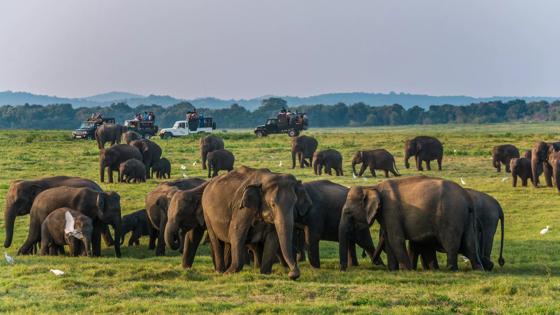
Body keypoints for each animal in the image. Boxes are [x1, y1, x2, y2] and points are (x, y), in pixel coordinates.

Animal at [340, 177, 484, 272]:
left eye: (348, 212)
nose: (343, 270)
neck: (373, 187)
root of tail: (467, 198)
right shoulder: (386, 214)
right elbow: (389, 240)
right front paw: (393, 271)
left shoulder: (391, 211)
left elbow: (395, 239)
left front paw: (406, 270)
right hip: (467, 218)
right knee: (470, 244)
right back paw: (478, 269)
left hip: (451, 216)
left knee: (451, 244)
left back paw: (451, 269)